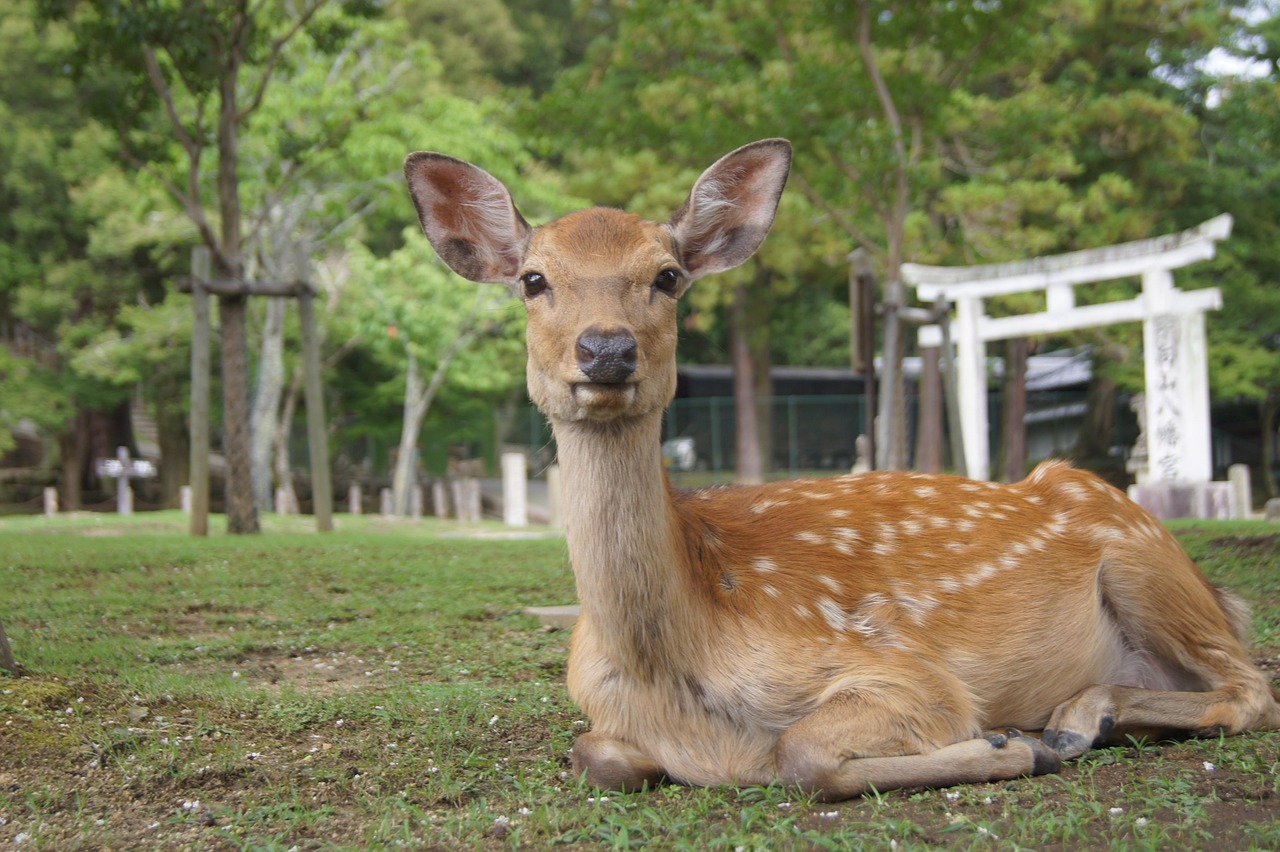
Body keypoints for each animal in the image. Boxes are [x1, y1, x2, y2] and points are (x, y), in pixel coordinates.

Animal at [407, 137, 1280, 798]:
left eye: (667, 275)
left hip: (1141, 558)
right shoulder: (603, 719)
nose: (607, 349)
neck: (671, 674)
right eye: (533, 279)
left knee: (1250, 688)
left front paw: (1009, 745)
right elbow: (596, 755)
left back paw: (1072, 721)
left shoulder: (906, 671)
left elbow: (802, 753)